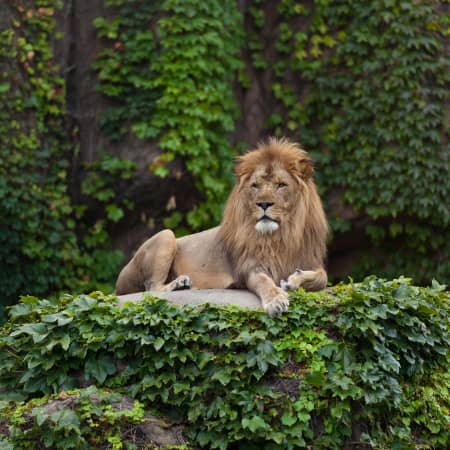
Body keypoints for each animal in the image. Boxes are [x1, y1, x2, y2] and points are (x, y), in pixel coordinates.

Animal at [115, 138, 326, 316]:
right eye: (255, 186)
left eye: (281, 185)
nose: (263, 204)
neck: (279, 236)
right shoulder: (248, 267)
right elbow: (264, 281)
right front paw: (275, 301)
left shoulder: (309, 259)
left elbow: (321, 277)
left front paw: (294, 280)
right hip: (166, 235)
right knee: (152, 288)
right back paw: (181, 284)